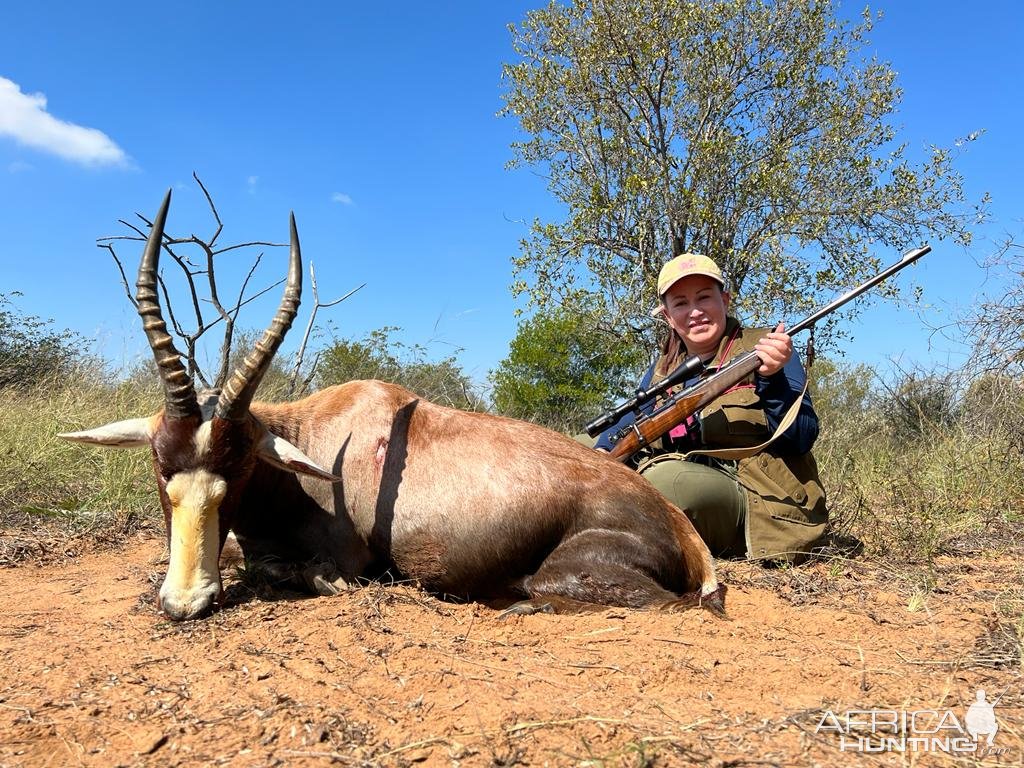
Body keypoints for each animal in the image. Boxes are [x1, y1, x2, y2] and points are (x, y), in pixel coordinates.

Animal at [59, 193, 724, 626]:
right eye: (159, 467)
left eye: (241, 467)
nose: (184, 603)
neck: (321, 434)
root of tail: (679, 528)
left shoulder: (345, 560)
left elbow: (294, 571)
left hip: (574, 574)